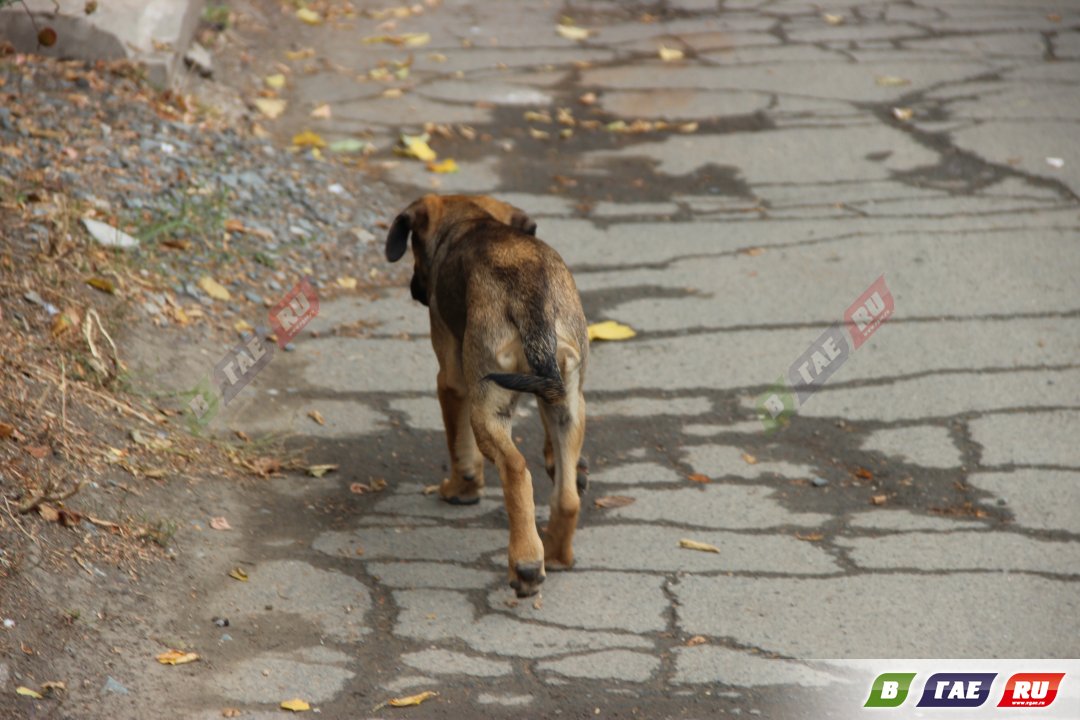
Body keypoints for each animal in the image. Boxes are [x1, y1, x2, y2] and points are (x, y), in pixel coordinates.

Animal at [386, 193, 591, 595]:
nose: (415, 288)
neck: (474, 221)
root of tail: (530, 294)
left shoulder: (450, 380)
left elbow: (460, 449)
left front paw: (459, 490)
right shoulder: (552, 390)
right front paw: (559, 463)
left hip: (487, 408)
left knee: (515, 470)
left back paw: (526, 565)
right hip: (571, 403)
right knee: (567, 498)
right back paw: (557, 553)